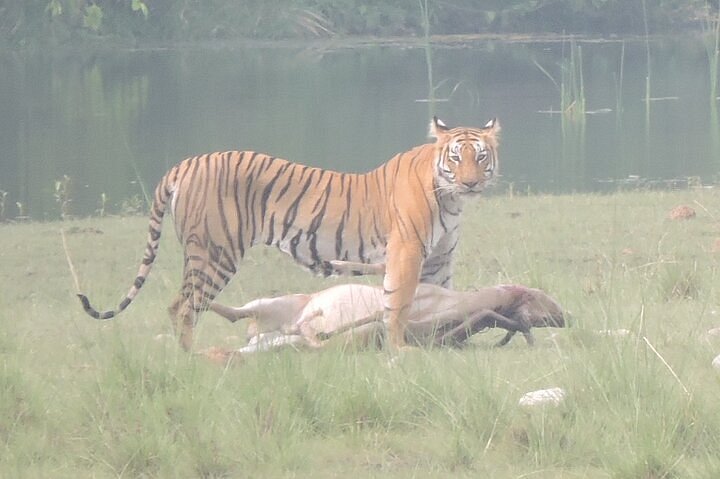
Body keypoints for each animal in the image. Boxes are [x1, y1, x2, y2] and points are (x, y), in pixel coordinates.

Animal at [77, 116, 500, 352]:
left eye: (480, 157)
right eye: (455, 157)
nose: (470, 183)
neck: (450, 198)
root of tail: (186, 163)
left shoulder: (439, 258)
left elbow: (442, 300)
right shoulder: (407, 252)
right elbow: (399, 303)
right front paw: (401, 349)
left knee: (176, 305)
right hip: (215, 254)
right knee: (184, 308)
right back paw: (191, 359)